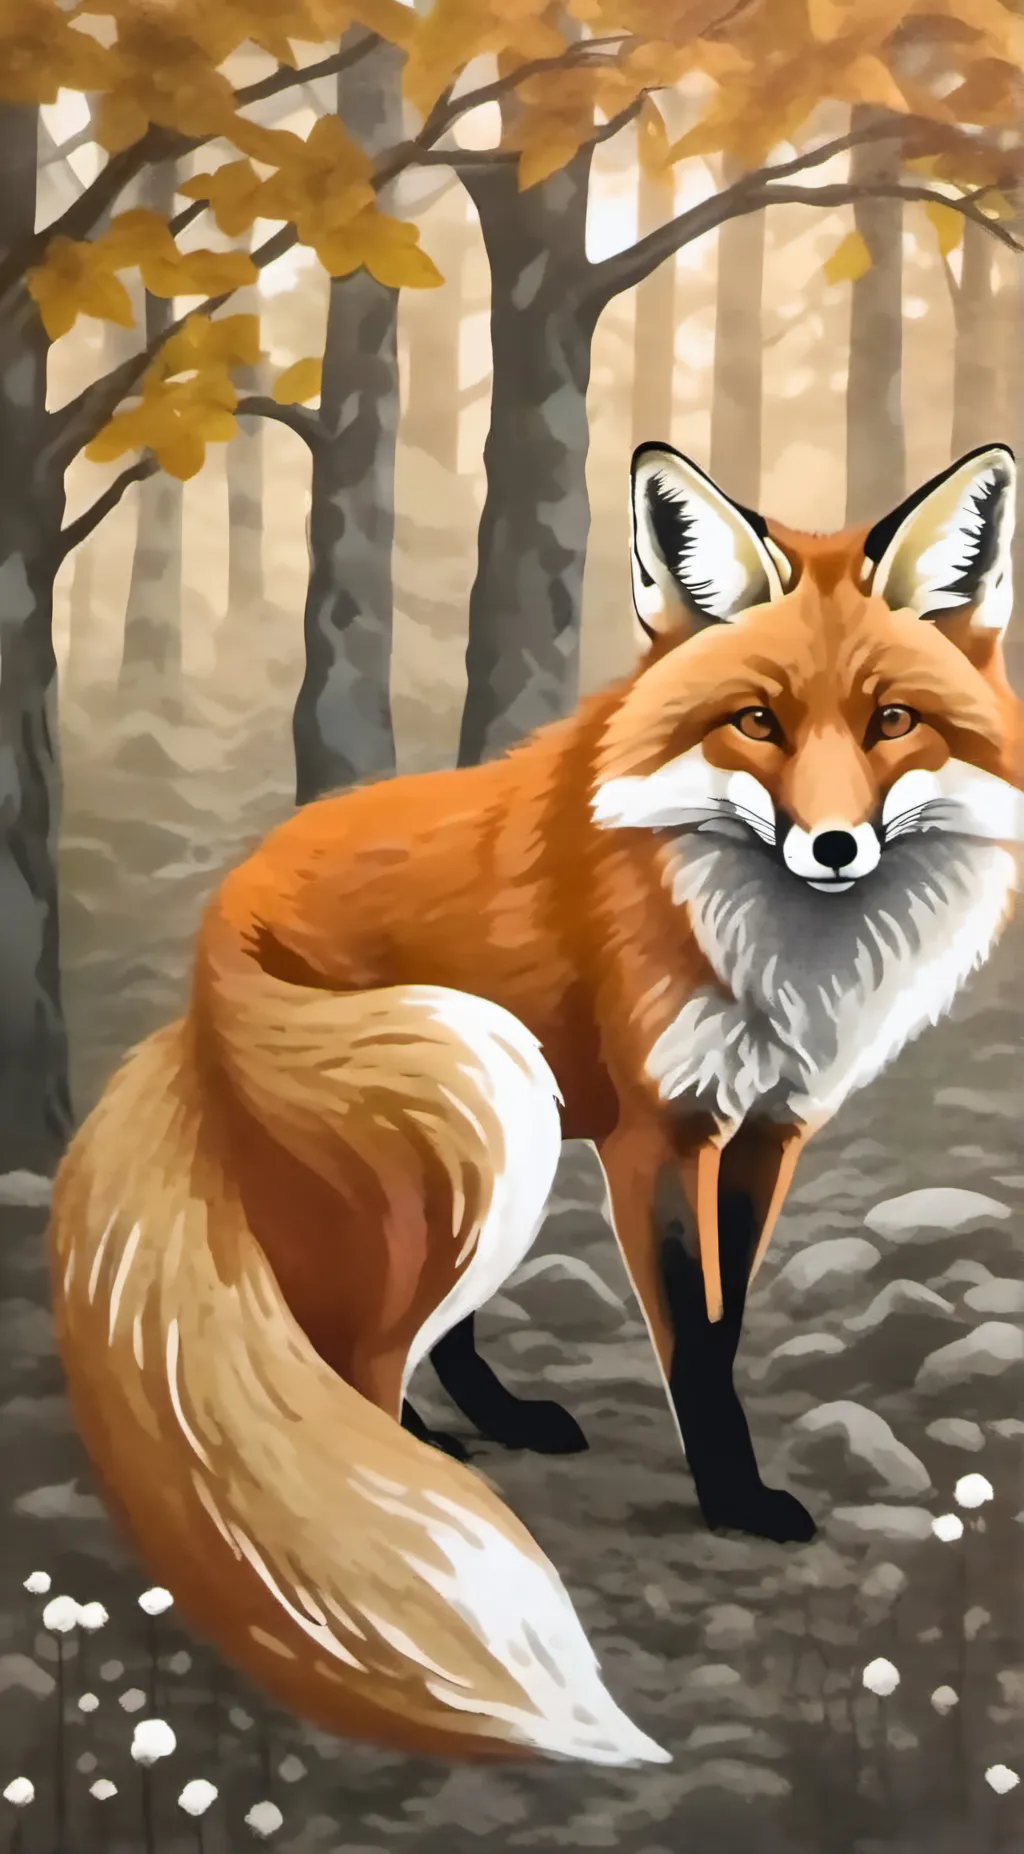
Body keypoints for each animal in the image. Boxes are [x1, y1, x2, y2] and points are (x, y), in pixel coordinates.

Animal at [50, 440, 1024, 1769]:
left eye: (891, 722)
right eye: (756, 721)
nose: (833, 848)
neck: (765, 945)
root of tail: (210, 937)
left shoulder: (767, 1133)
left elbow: (724, 1321)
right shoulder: (658, 1136)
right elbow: (693, 1345)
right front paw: (733, 1499)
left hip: (493, 1134)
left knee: (425, 1328)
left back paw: (487, 1420)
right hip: (480, 1087)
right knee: (357, 1351)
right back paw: (411, 1476)